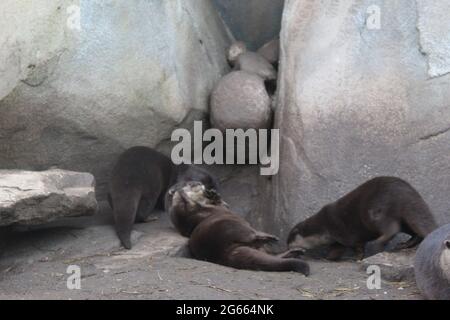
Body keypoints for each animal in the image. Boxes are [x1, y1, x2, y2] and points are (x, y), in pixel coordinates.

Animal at [165, 181, 310, 276]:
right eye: (190, 184)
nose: (199, 183)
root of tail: (225, 253)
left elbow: (224, 204)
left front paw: (213, 194)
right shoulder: (184, 213)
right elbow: (187, 207)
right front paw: (183, 194)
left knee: (270, 254)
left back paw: (295, 251)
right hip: (230, 226)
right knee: (252, 236)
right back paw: (269, 238)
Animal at [286, 176, 438, 262]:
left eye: (289, 241)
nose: (286, 247)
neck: (323, 227)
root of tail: (406, 194)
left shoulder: (340, 231)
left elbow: (355, 247)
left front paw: (357, 258)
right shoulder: (337, 239)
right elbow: (336, 249)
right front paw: (328, 257)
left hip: (376, 211)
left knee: (392, 228)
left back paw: (380, 243)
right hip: (406, 219)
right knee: (414, 231)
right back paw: (404, 245)